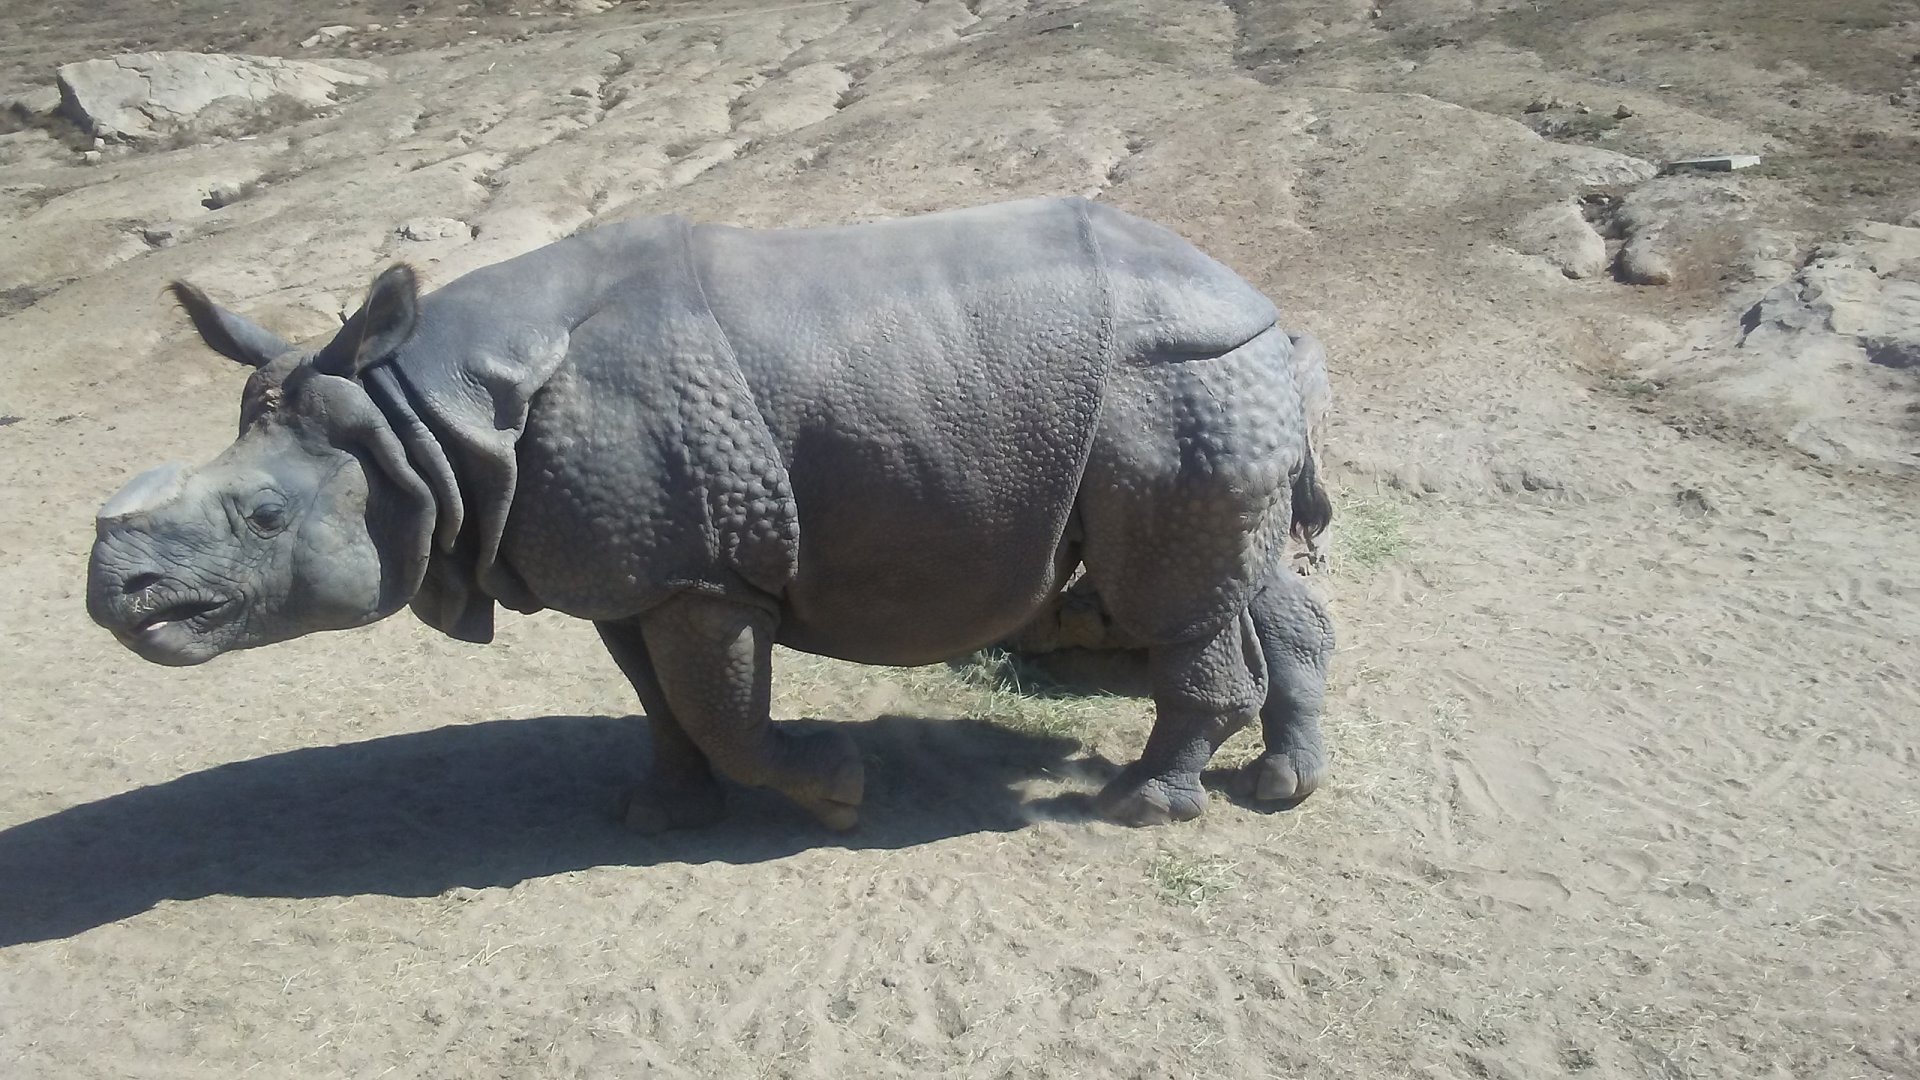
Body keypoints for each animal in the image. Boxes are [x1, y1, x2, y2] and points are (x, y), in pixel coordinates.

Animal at [85, 196, 1334, 832]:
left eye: (262, 518)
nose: (114, 596)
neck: (421, 425)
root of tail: (1260, 298)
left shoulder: (704, 572)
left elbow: (724, 710)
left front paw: (838, 790)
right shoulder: (635, 566)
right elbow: (662, 704)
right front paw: (660, 812)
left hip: (1165, 381)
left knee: (1174, 597)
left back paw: (1144, 806)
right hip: (1213, 382)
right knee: (1249, 571)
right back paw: (1282, 788)